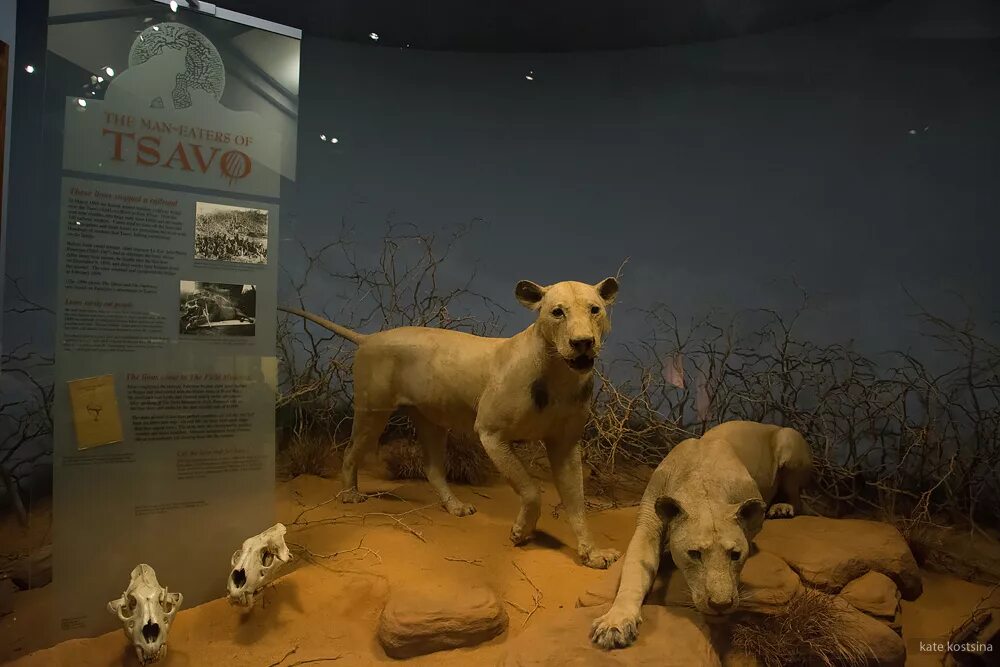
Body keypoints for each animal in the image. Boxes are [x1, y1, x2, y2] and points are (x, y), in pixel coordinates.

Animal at [282, 276, 620, 568]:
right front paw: (521, 532)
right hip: (372, 412)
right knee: (351, 452)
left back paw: (455, 507)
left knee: (432, 469)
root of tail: (370, 336)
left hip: (431, 422)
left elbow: (576, 502)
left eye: (595, 309)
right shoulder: (491, 433)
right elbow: (531, 489)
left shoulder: (565, 444)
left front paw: (593, 554)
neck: (561, 376)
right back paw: (350, 495)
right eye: (557, 312)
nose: (582, 342)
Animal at [584, 422, 812, 648]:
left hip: (789, 439)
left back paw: (782, 508)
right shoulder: (648, 526)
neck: (703, 485)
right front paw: (615, 624)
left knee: (799, 500)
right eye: (694, 554)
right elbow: (634, 572)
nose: (721, 605)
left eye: (735, 555)